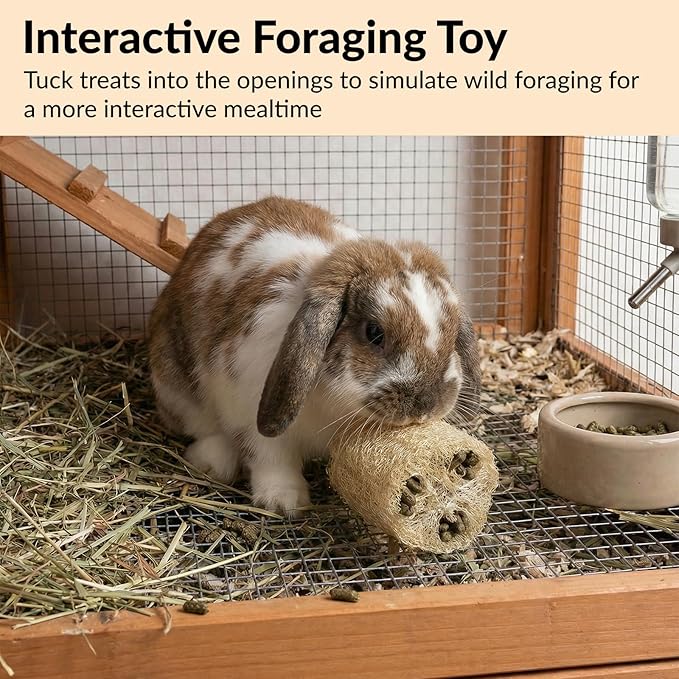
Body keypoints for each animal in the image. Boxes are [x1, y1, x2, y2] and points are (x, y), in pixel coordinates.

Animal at [149, 197, 481, 517]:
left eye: (452, 335)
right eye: (374, 333)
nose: (425, 405)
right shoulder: (251, 411)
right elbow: (271, 457)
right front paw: (284, 502)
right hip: (176, 386)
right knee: (203, 428)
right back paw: (212, 463)